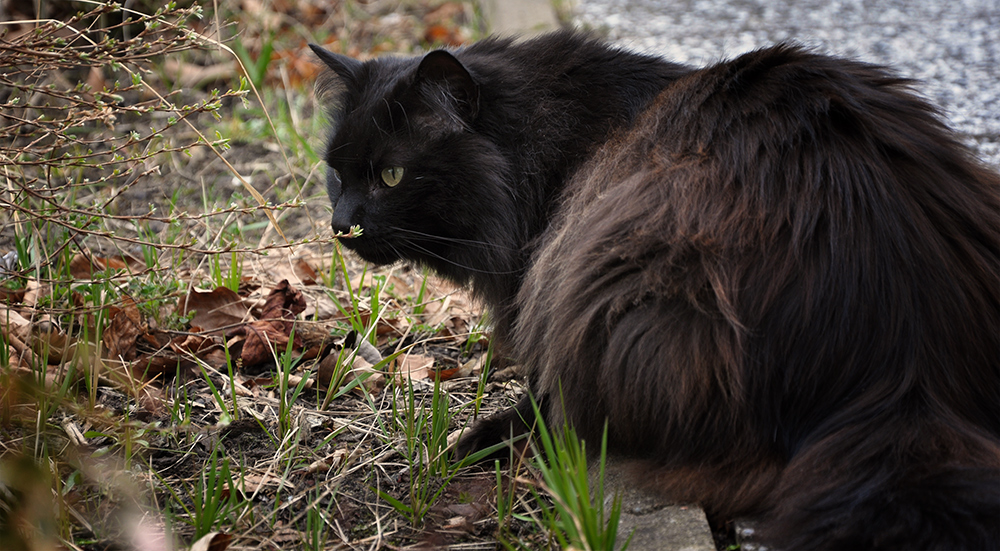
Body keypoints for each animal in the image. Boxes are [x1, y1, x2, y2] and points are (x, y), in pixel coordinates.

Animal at [312, 31, 1000, 551]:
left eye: (392, 175)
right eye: (336, 173)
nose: (340, 224)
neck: (542, 145)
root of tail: (907, 371)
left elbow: (539, 388)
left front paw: (485, 438)